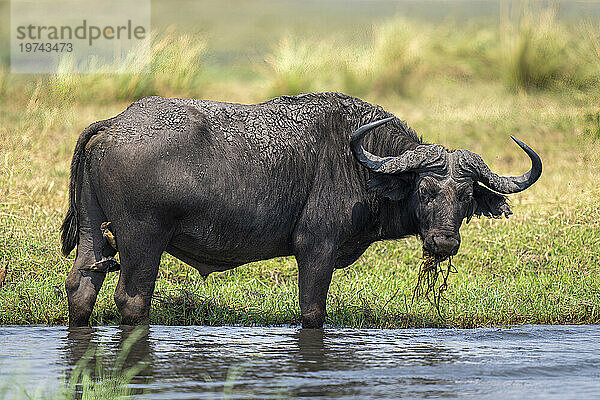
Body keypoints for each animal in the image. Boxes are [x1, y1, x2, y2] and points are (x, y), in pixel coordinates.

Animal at [62, 94, 544, 328]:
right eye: (425, 190)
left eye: (466, 197)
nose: (444, 242)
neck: (358, 161)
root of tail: (115, 124)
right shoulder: (316, 248)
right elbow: (312, 313)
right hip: (143, 241)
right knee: (132, 300)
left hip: (94, 235)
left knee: (81, 288)